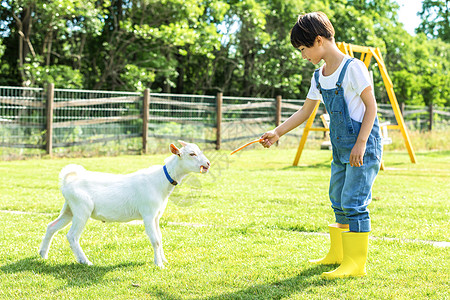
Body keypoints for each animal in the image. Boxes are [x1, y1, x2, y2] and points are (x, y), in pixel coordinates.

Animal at [37, 141, 210, 268]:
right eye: (192, 154)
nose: (207, 164)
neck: (161, 180)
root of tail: (68, 181)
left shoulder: (156, 216)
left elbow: (160, 237)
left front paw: (164, 260)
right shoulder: (148, 214)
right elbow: (155, 239)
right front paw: (159, 265)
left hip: (69, 209)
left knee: (51, 226)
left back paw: (43, 254)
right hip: (81, 210)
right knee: (72, 236)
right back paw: (85, 261)